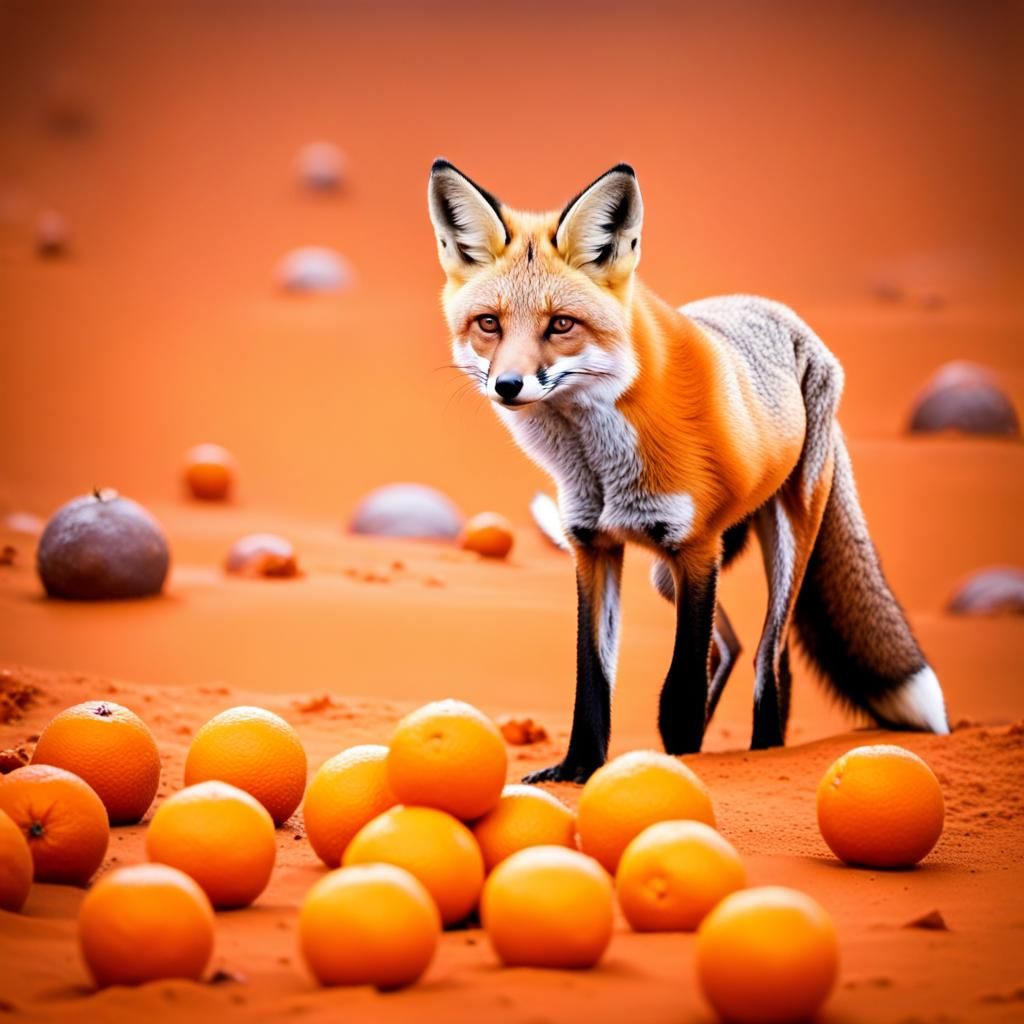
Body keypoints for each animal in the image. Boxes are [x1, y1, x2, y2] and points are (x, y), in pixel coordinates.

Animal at [427, 159, 950, 783]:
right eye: (489, 324)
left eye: (560, 325)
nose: (508, 385)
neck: (599, 466)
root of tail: (780, 313)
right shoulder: (593, 546)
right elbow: (592, 677)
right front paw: (579, 769)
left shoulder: (697, 548)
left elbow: (679, 686)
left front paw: (676, 765)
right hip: (668, 572)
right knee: (738, 647)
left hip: (784, 540)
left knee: (771, 653)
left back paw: (765, 748)